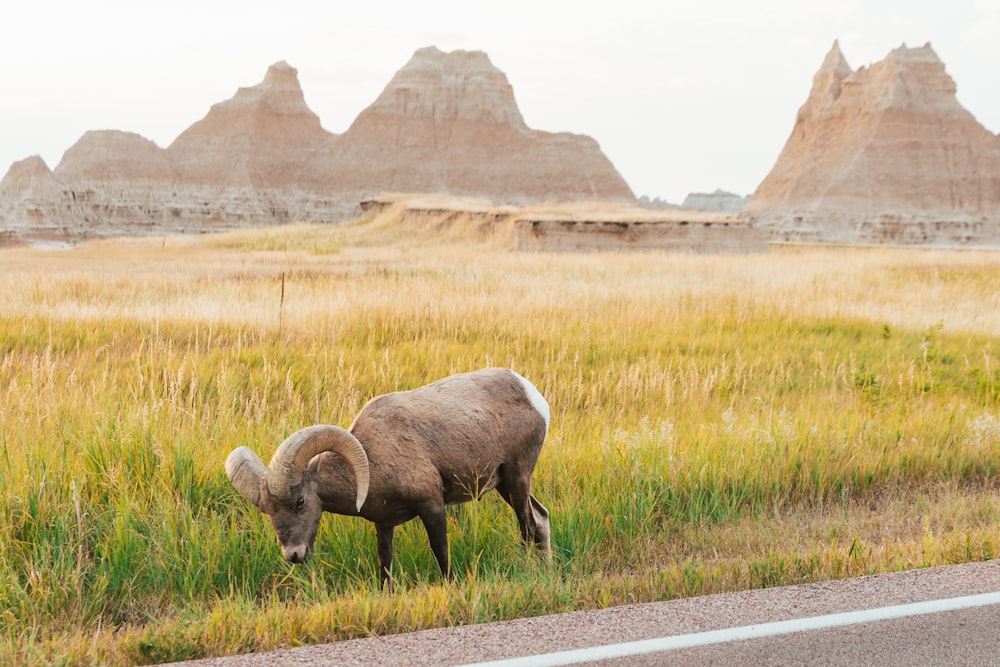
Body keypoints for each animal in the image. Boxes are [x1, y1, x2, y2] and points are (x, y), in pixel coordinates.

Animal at [227, 370, 552, 584]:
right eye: (268, 511)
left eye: (300, 502)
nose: (293, 555)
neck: (373, 458)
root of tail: (533, 395)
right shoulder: (384, 524)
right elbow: (385, 564)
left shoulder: (432, 506)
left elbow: (441, 553)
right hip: (505, 486)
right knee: (541, 518)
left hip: (517, 478)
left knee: (528, 526)